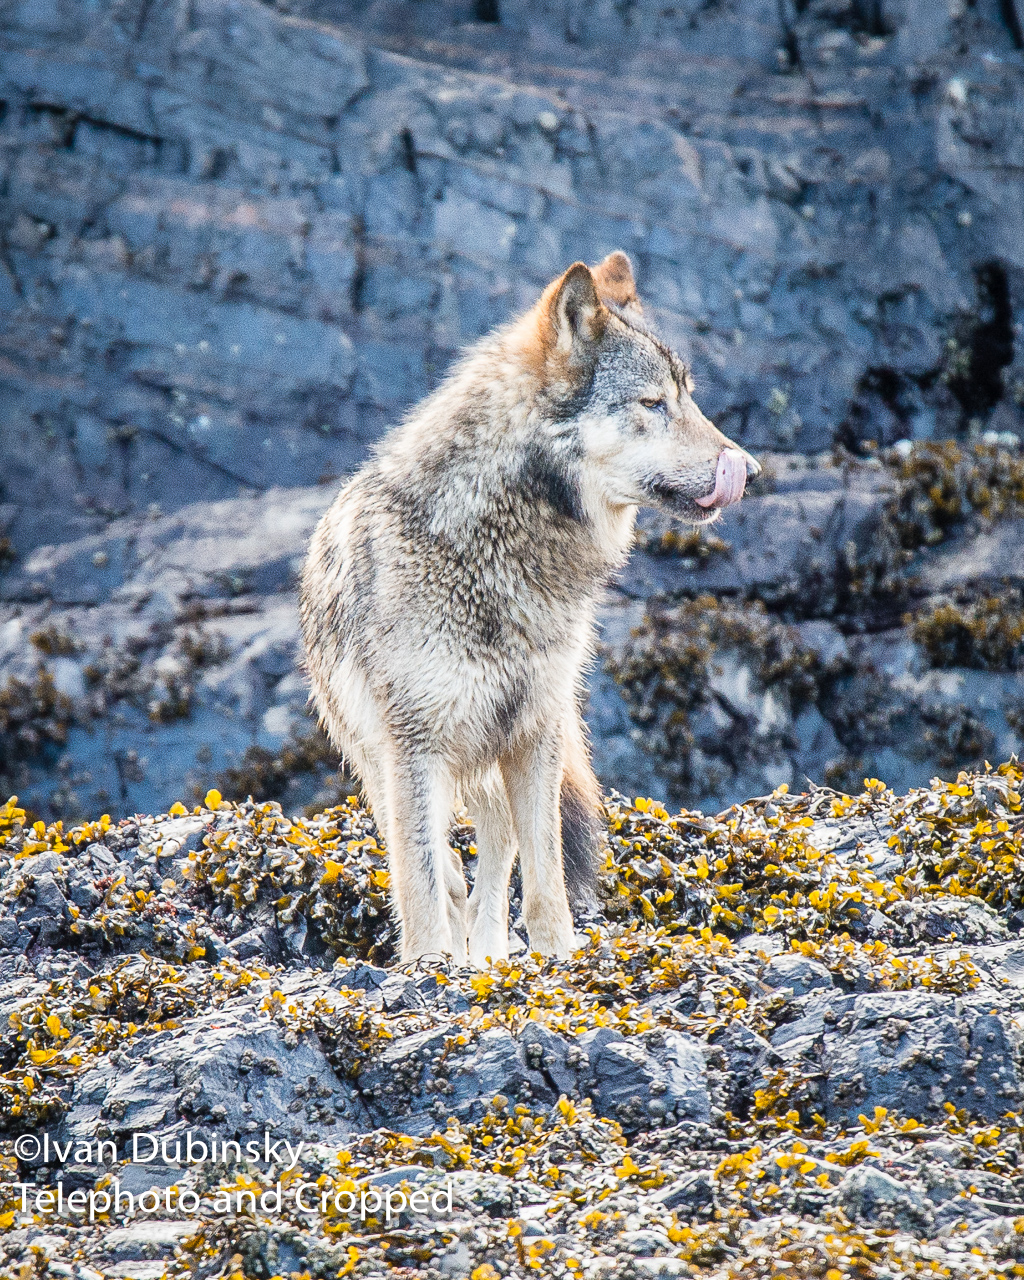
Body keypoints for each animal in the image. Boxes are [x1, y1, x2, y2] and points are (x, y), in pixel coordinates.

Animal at [300, 251, 759, 966]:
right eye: (653, 404)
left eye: (687, 400)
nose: (752, 470)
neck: (494, 551)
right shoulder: (413, 748)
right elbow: (422, 880)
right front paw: (428, 967)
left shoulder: (536, 732)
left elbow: (544, 878)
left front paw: (558, 957)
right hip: (384, 765)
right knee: (446, 865)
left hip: (495, 765)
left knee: (496, 860)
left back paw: (489, 955)